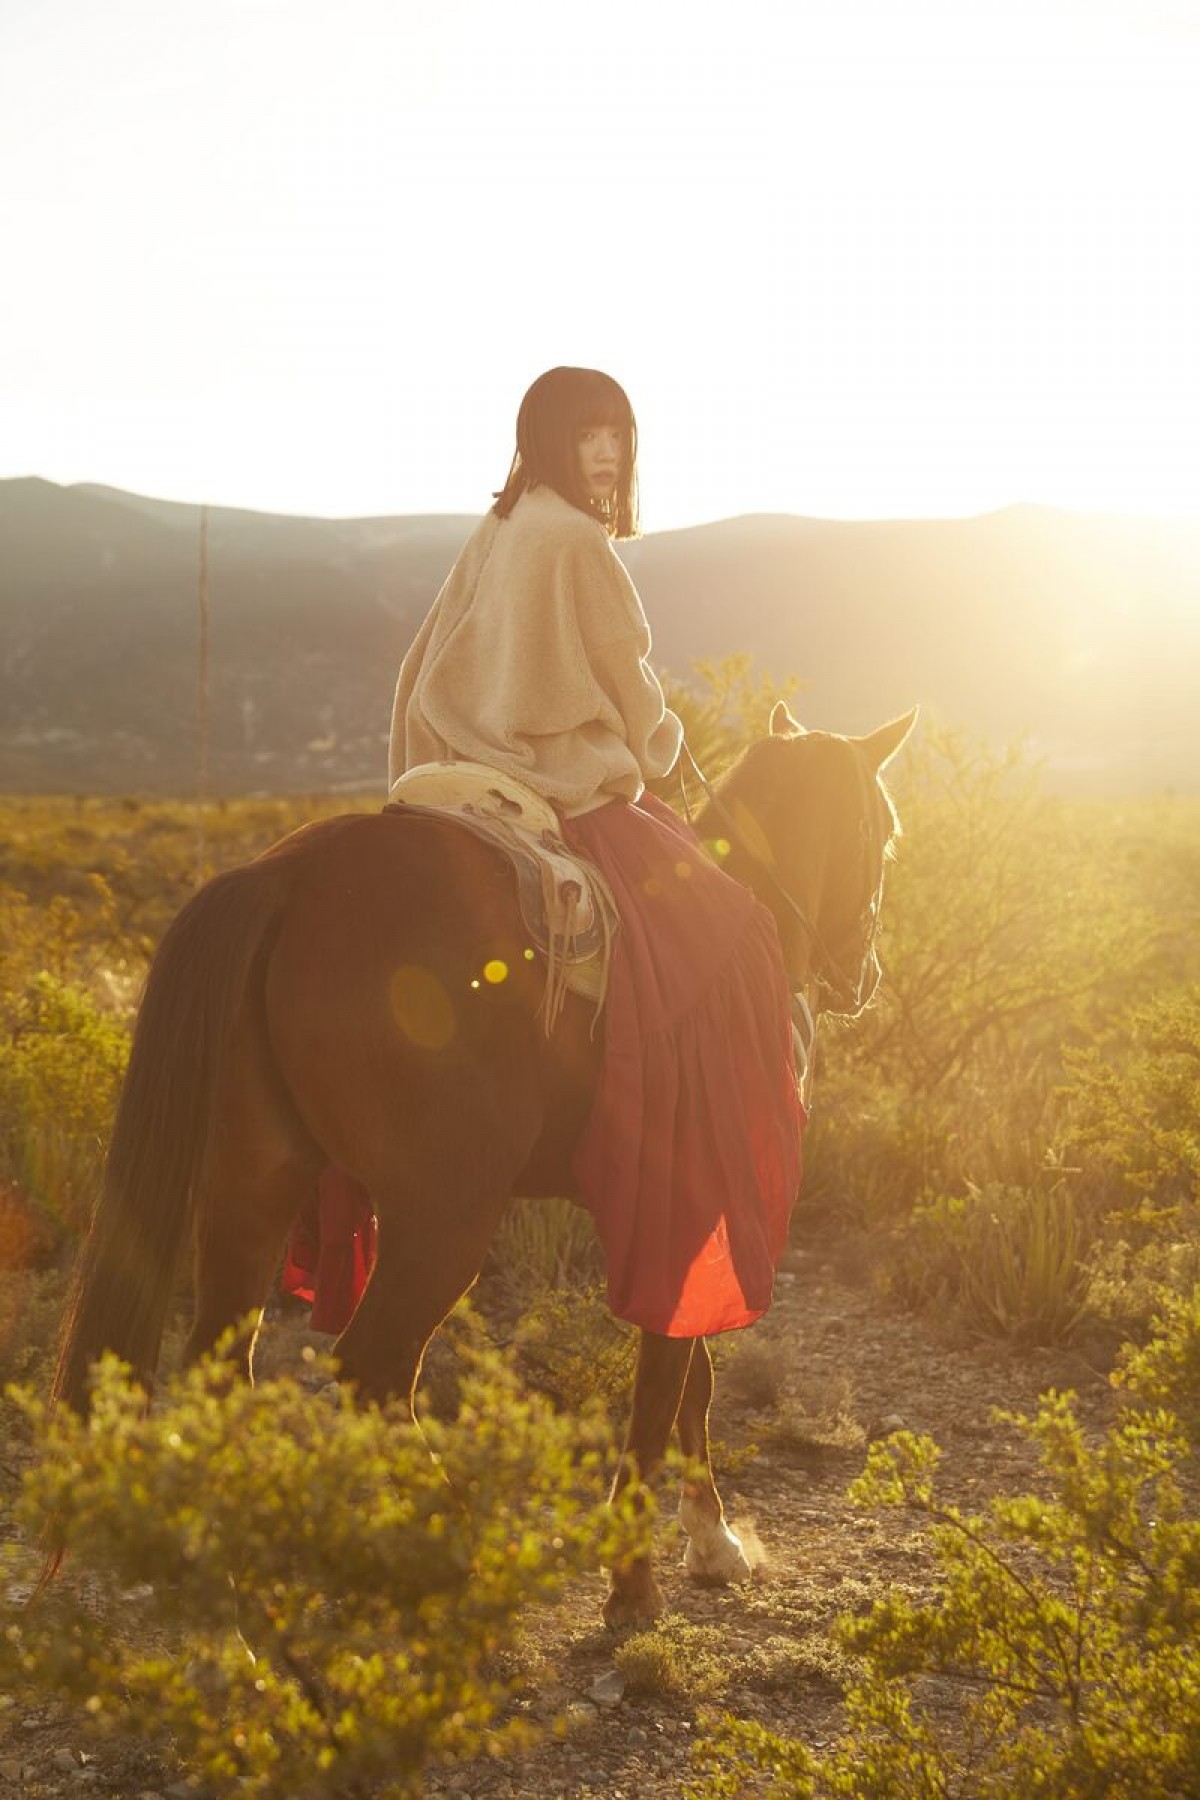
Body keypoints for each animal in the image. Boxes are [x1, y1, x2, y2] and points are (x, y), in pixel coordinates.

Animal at [53, 698, 921, 1620]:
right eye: (886, 834)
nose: (860, 975)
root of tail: (283, 877)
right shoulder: (688, 1202)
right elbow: (667, 1380)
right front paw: (636, 1578)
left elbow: (693, 1373)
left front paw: (711, 1540)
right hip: (443, 1218)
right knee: (373, 1369)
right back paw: (457, 1547)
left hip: (252, 1186)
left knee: (223, 1370)